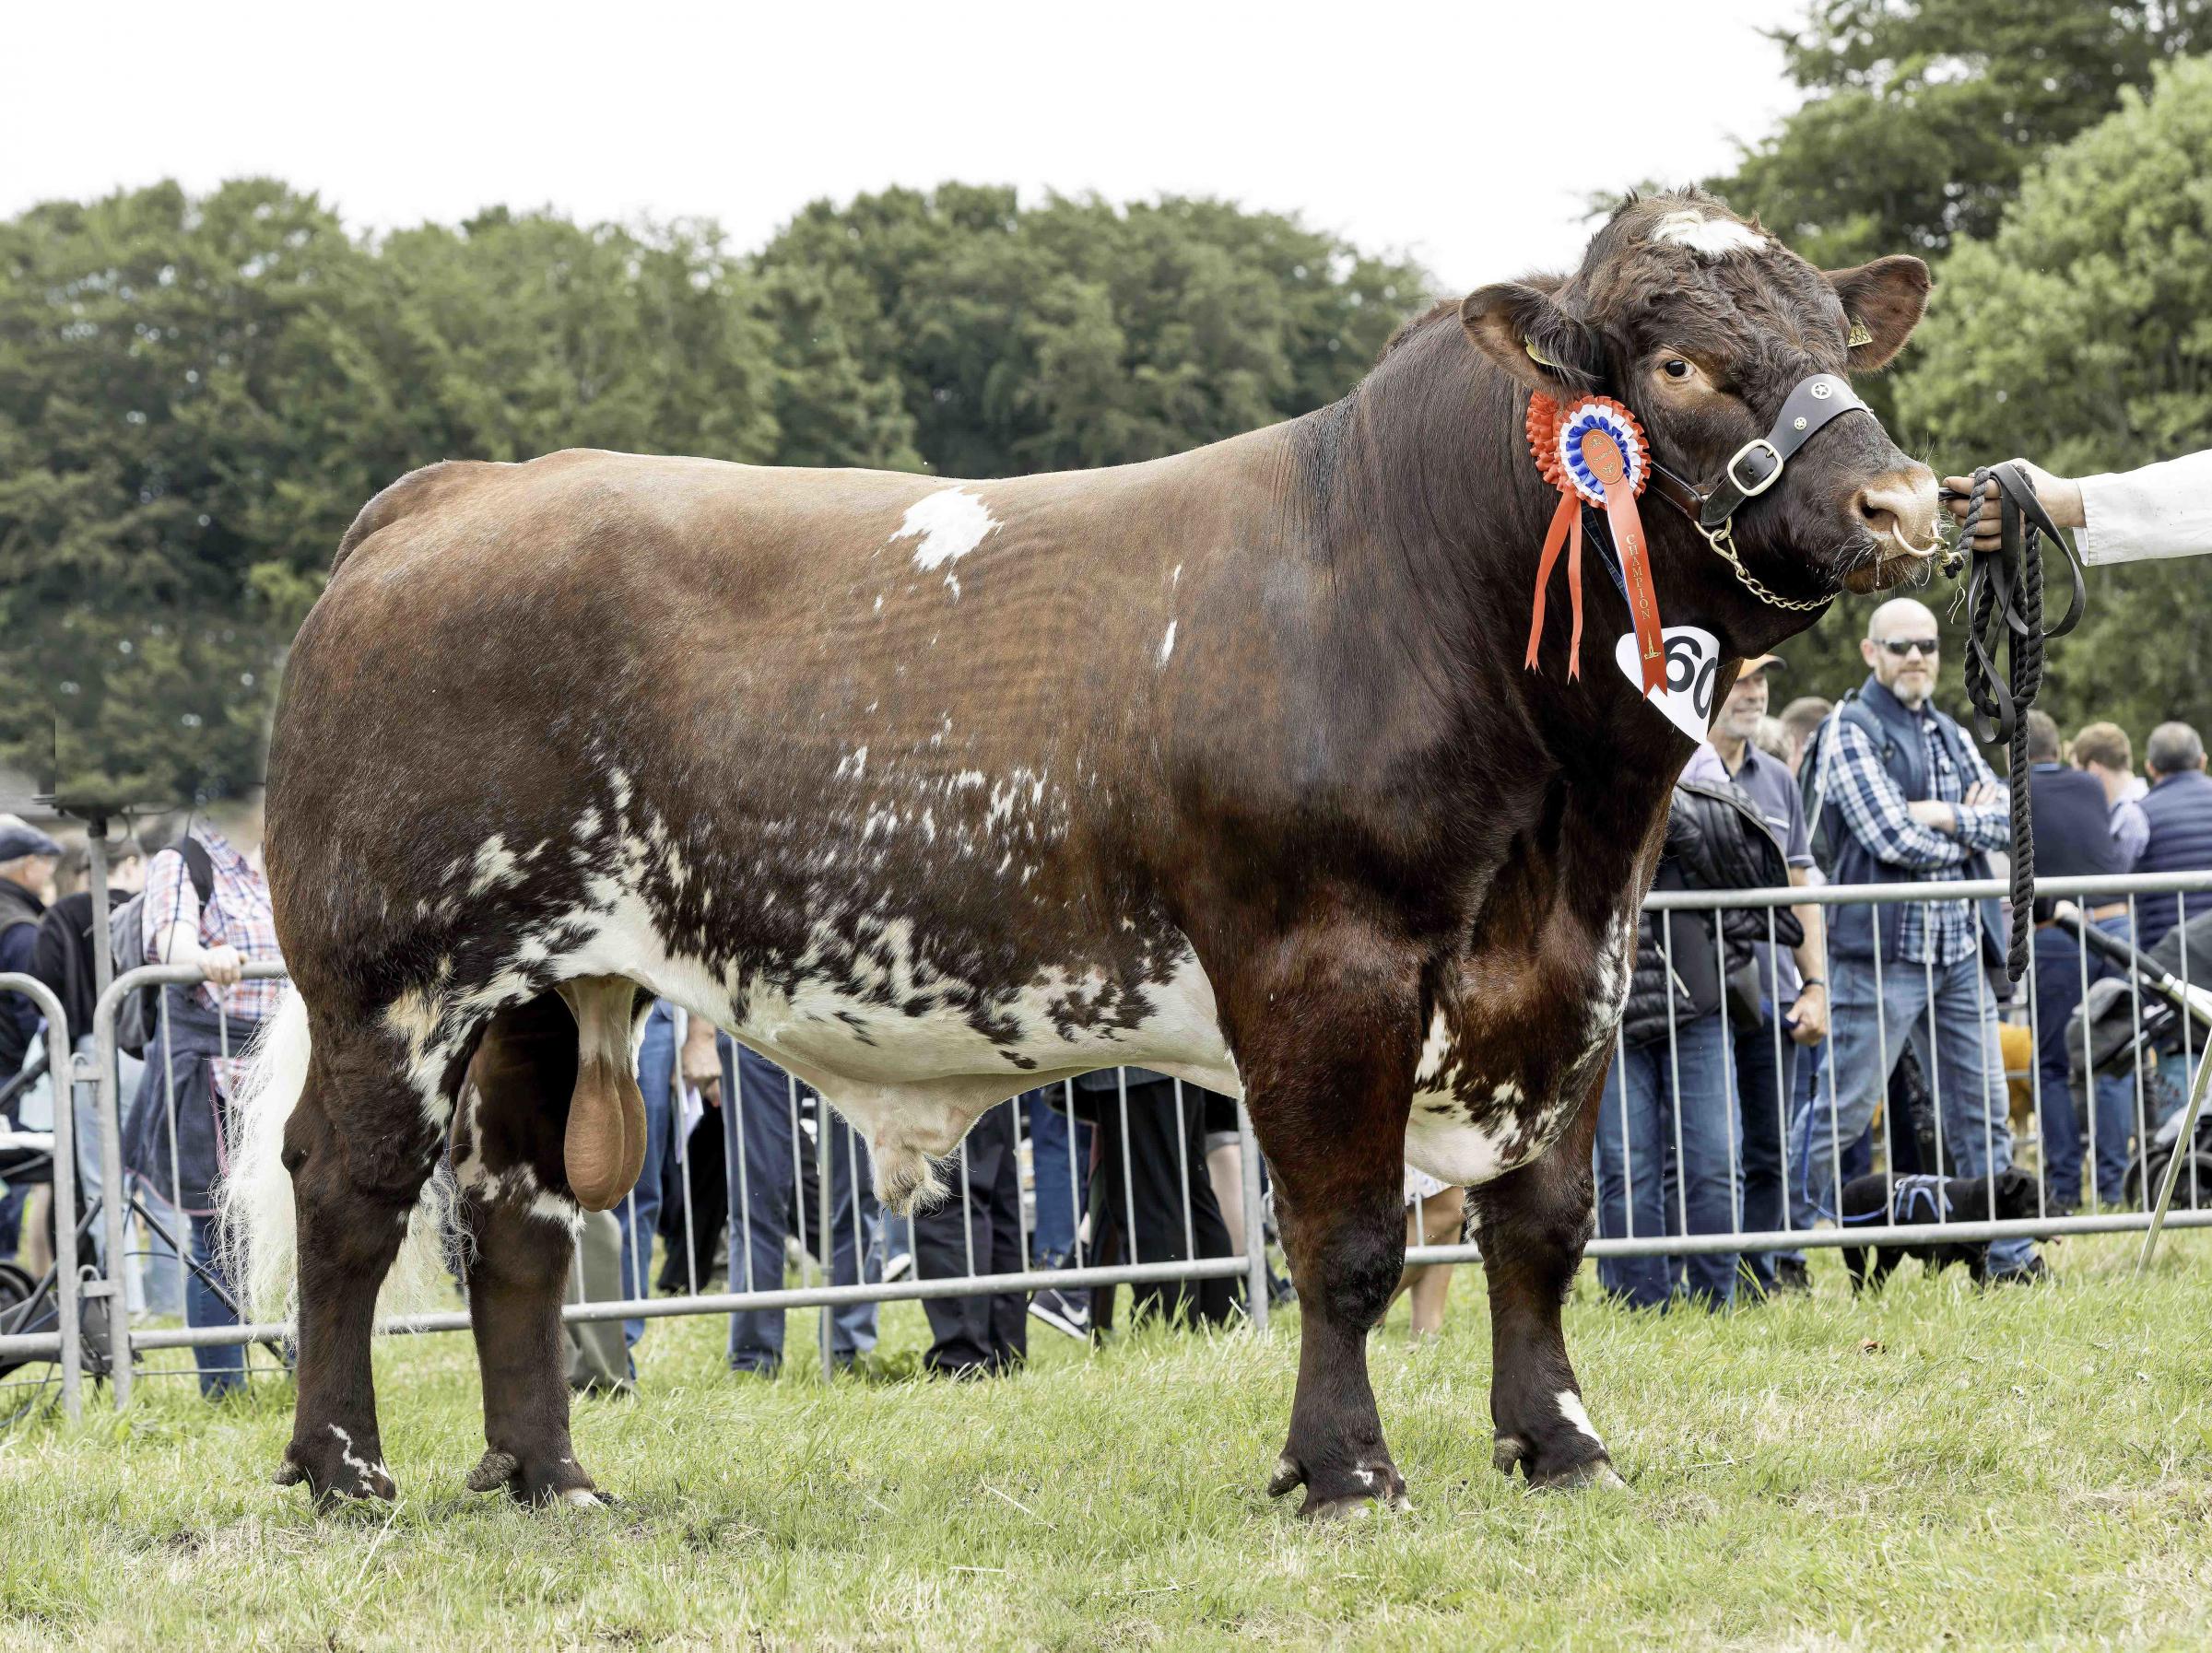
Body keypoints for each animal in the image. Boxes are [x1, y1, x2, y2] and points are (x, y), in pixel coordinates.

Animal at [229, 190, 1937, 1511]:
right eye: (1680, 362)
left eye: (1840, 345)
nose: (1902, 498)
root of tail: (458, 491)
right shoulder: (1323, 969)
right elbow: (1348, 1239)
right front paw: (1345, 1467)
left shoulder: (1581, 970)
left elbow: (1543, 1227)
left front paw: (1561, 1441)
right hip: (392, 971)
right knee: (353, 1192)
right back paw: (342, 1469)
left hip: (546, 979)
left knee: (516, 1213)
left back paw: (548, 1475)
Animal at [1840, 1157, 2043, 1290]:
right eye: (2038, 1198)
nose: (2055, 1211)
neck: (1973, 1202)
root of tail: (1846, 1188)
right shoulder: (1934, 1264)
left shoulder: (1978, 1265)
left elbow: (1979, 1289)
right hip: (1855, 1250)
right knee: (1858, 1281)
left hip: (1890, 1254)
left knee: (1875, 1280)